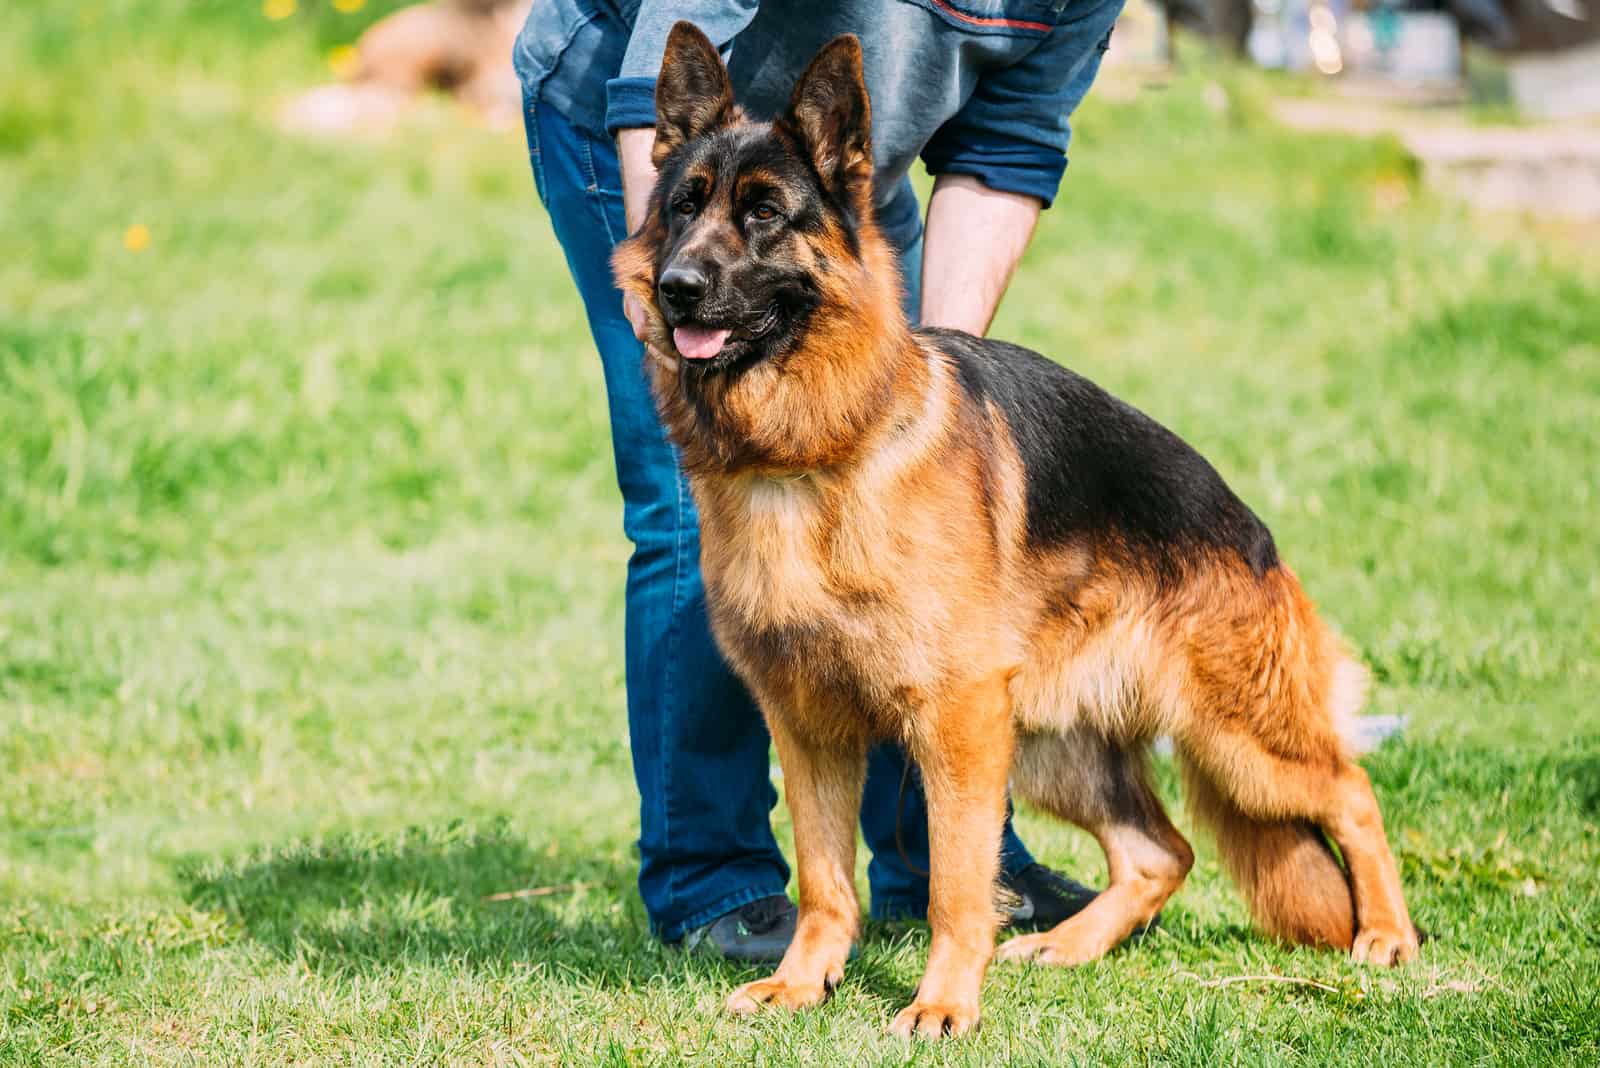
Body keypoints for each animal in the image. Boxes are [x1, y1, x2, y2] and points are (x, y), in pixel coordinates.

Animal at [608, 24, 1414, 1036]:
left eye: (763, 215)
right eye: (684, 206)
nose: (675, 289)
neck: (813, 452)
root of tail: (1246, 523)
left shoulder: (955, 721)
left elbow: (956, 882)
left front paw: (944, 1003)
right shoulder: (810, 725)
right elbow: (827, 880)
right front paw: (804, 981)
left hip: (1230, 737)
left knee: (1351, 791)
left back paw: (1387, 935)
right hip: (1050, 745)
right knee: (1163, 852)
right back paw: (1069, 944)